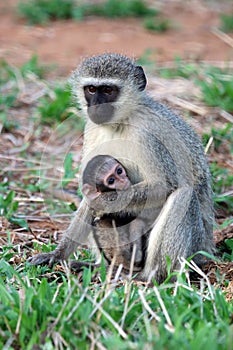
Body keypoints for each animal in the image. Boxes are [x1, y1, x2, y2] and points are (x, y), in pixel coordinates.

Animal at [28, 52, 214, 282]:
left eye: (108, 90)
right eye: (91, 89)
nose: (96, 106)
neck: (119, 123)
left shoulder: (148, 136)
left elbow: (163, 186)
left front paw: (101, 201)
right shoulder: (92, 129)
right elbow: (89, 190)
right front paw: (58, 254)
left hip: (197, 247)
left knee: (183, 196)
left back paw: (148, 277)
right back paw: (103, 266)